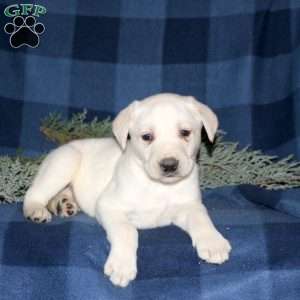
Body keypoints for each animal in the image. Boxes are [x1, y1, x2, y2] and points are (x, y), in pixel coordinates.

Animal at [23, 92, 231, 288]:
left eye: (185, 132)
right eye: (147, 137)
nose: (169, 165)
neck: (158, 186)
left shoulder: (189, 206)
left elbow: (202, 219)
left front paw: (213, 243)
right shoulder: (108, 206)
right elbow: (128, 231)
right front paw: (121, 265)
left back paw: (64, 203)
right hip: (65, 162)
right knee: (33, 193)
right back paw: (36, 210)